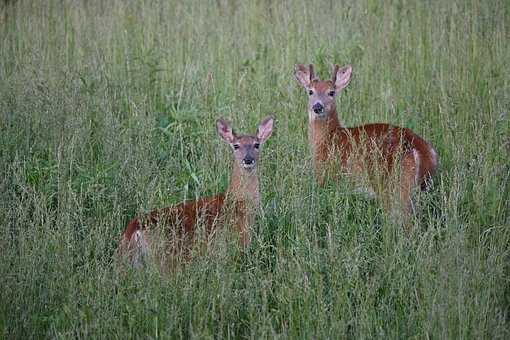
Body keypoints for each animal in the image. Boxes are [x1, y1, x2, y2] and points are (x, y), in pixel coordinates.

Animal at [118, 115, 274, 266]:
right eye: (236, 146)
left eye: (257, 144)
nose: (248, 160)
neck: (238, 203)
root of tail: (133, 231)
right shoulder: (237, 246)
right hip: (166, 259)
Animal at [294, 63, 438, 223]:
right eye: (310, 91)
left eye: (331, 92)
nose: (317, 107)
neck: (327, 138)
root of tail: (422, 150)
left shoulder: (325, 174)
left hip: (394, 186)